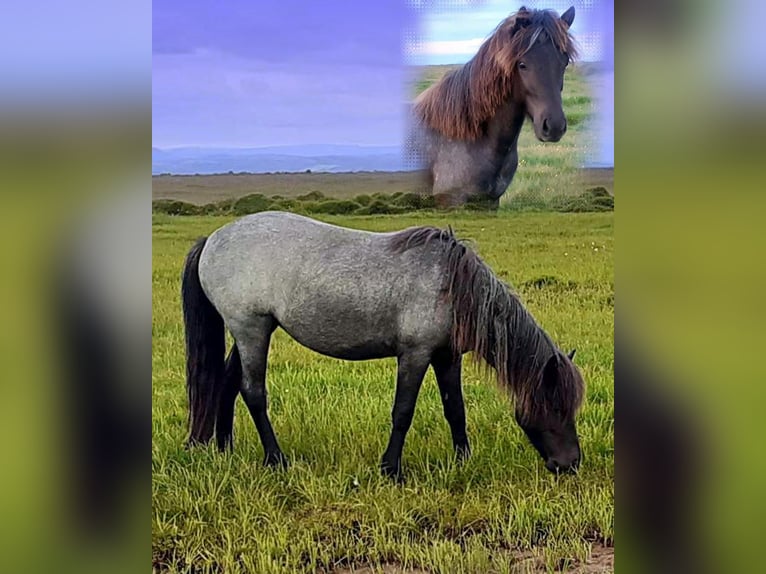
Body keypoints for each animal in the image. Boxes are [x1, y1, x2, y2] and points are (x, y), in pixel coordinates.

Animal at [183, 214, 584, 480]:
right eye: (554, 405)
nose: (571, 464)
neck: (451, 285)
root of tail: (213, 238)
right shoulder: (415, 354)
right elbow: (403, 412)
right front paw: (391, 470)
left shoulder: (447, 356)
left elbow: (455, 409)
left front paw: (462, 460)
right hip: (251, 329)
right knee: (253, 392)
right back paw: (276, 460)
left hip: (250, 332)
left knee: (227, 384)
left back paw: (224, 449)